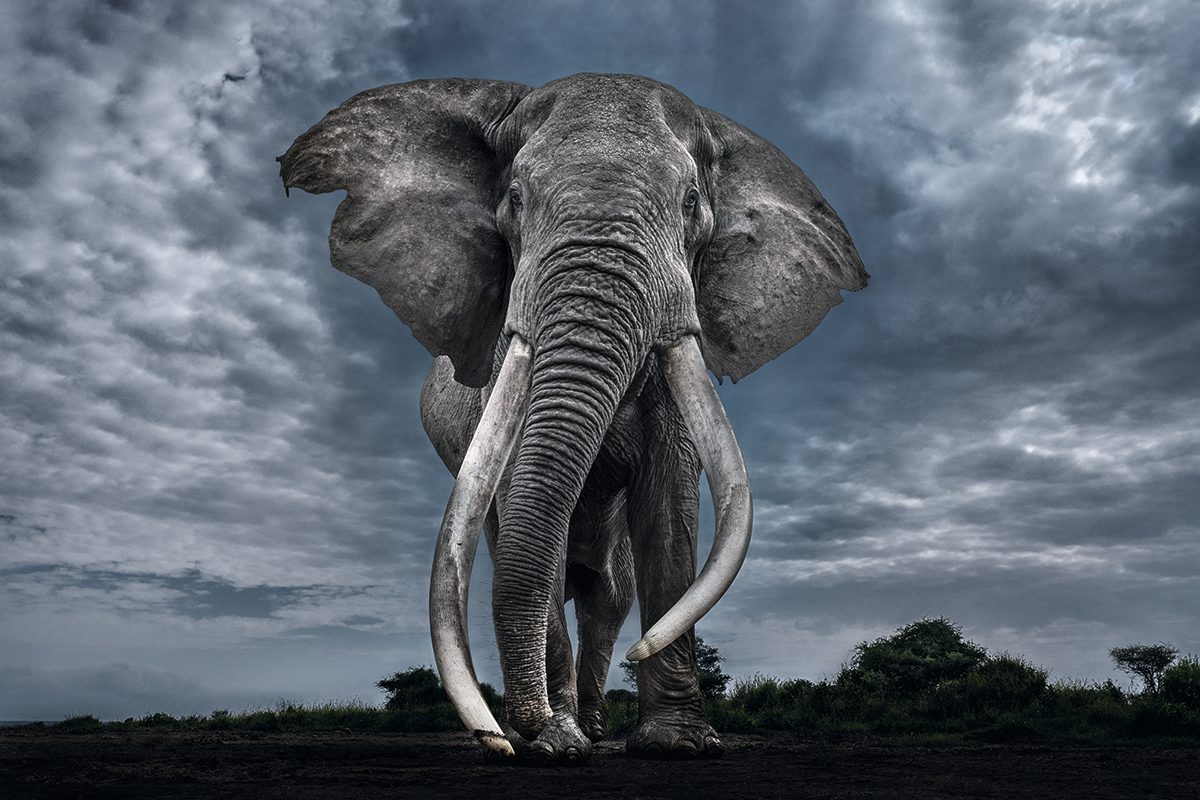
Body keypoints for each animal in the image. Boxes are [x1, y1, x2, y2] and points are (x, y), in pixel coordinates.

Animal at [278, 73, 866, 763]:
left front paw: (677, 745)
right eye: (513, 198)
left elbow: (668, 508)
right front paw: (555, 744)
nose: (506, 734)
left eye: (692, 202)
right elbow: (527, 518)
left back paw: (597, 725)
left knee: (607, 595)